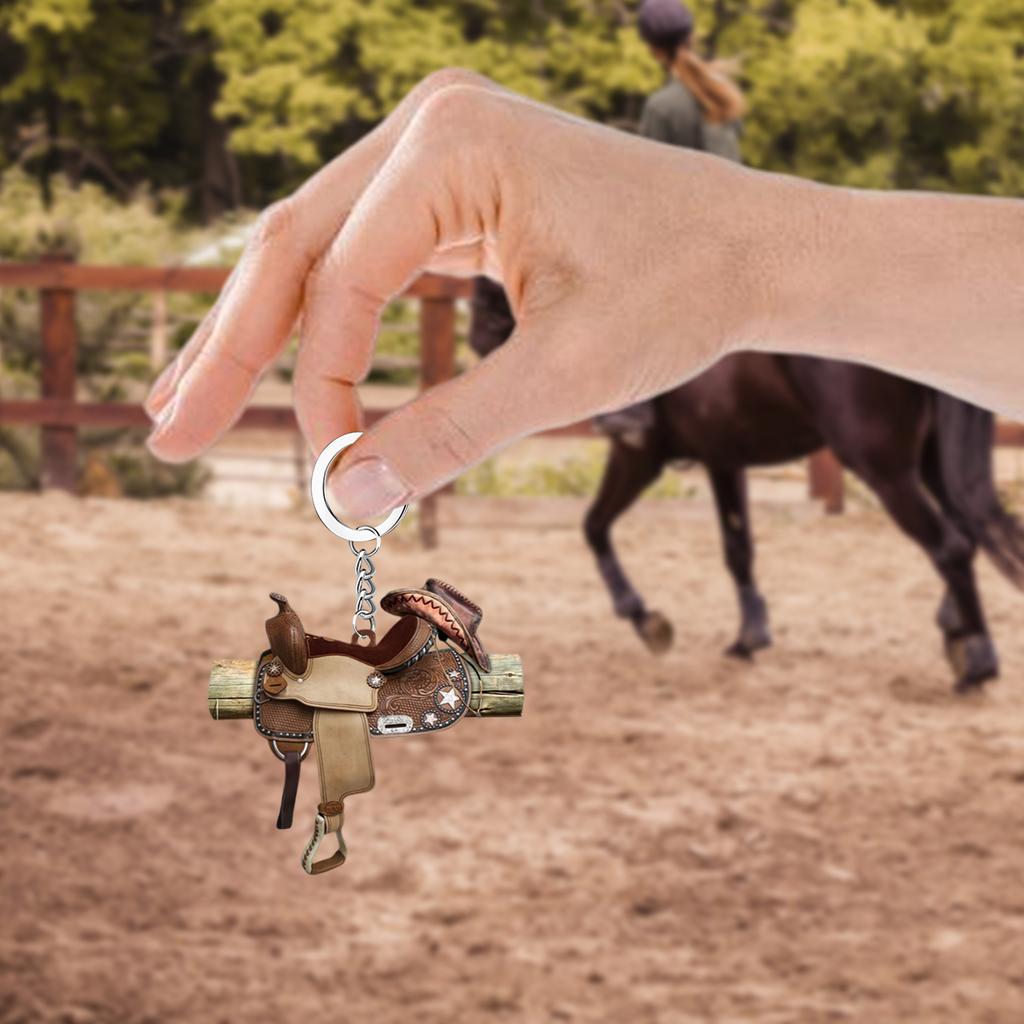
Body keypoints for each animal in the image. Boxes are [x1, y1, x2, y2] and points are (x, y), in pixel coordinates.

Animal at [469, 279, 1024, 691]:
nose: (475, 339)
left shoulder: (638, 452)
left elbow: (594, 526)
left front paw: (645, 618)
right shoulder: (723, 459)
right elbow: (737, 549)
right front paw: (750, 636)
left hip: (884, 468)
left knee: (950, 546)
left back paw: (978, 662)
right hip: (930, 463)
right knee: (967, 534)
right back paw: (959, 633)